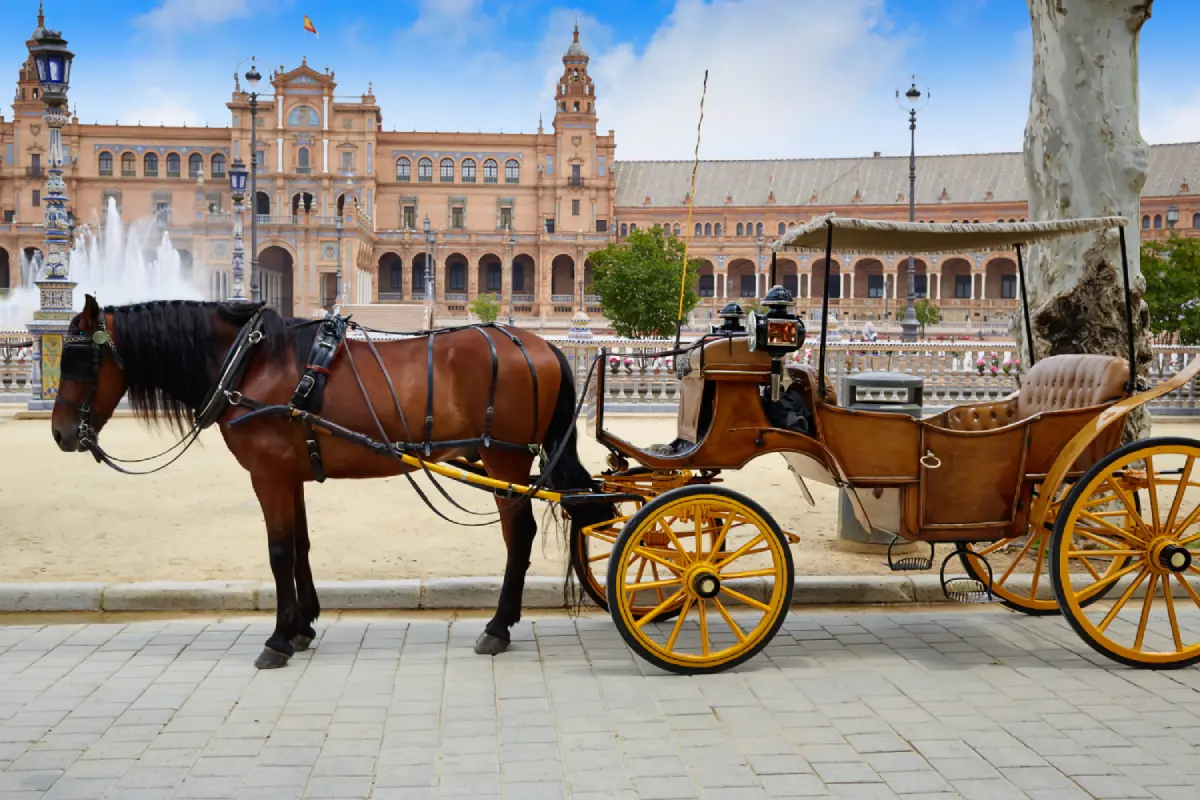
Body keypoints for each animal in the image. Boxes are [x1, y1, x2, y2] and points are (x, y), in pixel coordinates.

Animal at [50, 294, 612, 669]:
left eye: (81, 362)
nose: (60, 433)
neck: (250, 363)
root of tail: (540, 343)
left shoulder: (268, 475)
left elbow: (278, 552)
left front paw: (278, 639)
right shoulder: (290, 474)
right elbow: (299, 546)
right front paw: (302, 627)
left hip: (504, 460)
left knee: (519, 536)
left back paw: (498, 627)